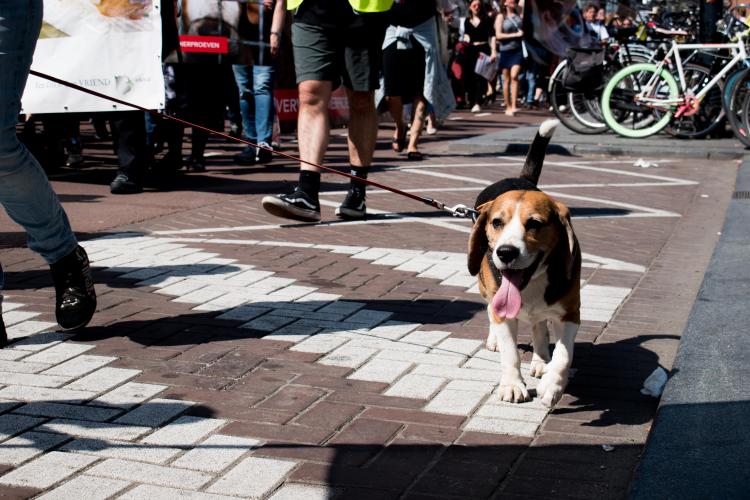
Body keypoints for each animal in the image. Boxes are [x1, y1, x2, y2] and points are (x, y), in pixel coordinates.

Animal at [470, 119, 580, 408]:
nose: (505, 252)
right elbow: (510, 353)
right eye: (497, 222)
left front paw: (552, 385)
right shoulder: (503, 313)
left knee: (539, 327)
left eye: (534, 224)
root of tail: (522, 180)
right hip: (485, 288)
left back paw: (541, 361)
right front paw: (512, 385)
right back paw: (495, 340)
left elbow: (564, 356)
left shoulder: (570, 314)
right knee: (490, 310)